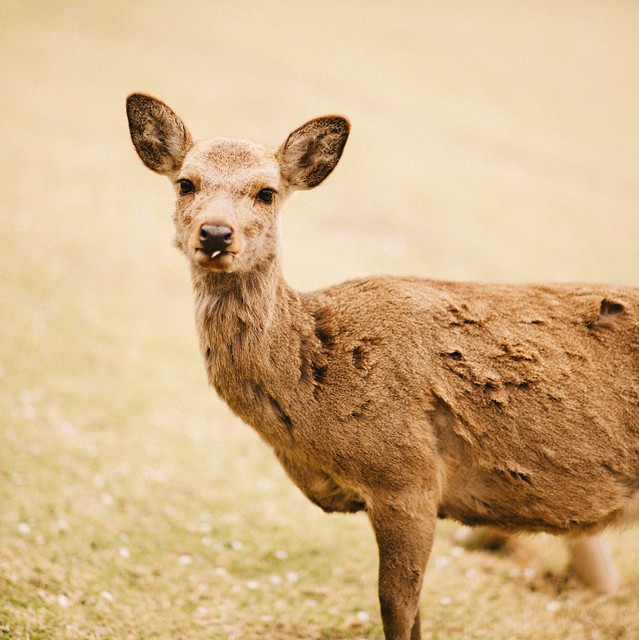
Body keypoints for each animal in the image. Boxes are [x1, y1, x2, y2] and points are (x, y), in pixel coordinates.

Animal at [126, 94, 639, 640]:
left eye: (267, 192)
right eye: (186, 182)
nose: (216, 233)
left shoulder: (407, 478)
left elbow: (396, 605)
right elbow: (415, 613)